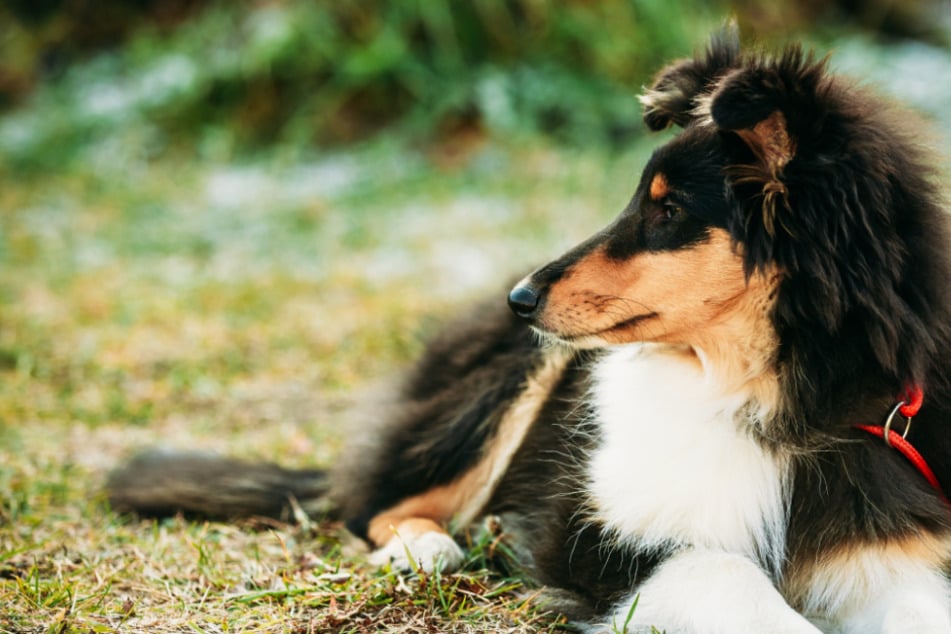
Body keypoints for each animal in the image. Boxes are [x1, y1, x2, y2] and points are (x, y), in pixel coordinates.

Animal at [106, 25, 951, 632]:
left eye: (669, 211)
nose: (521, 296)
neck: (762, 403)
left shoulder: (891, 551)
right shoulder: (600, 540)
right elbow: (725, 576)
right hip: (506, 391)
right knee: (372, 502)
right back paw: (430, 549)